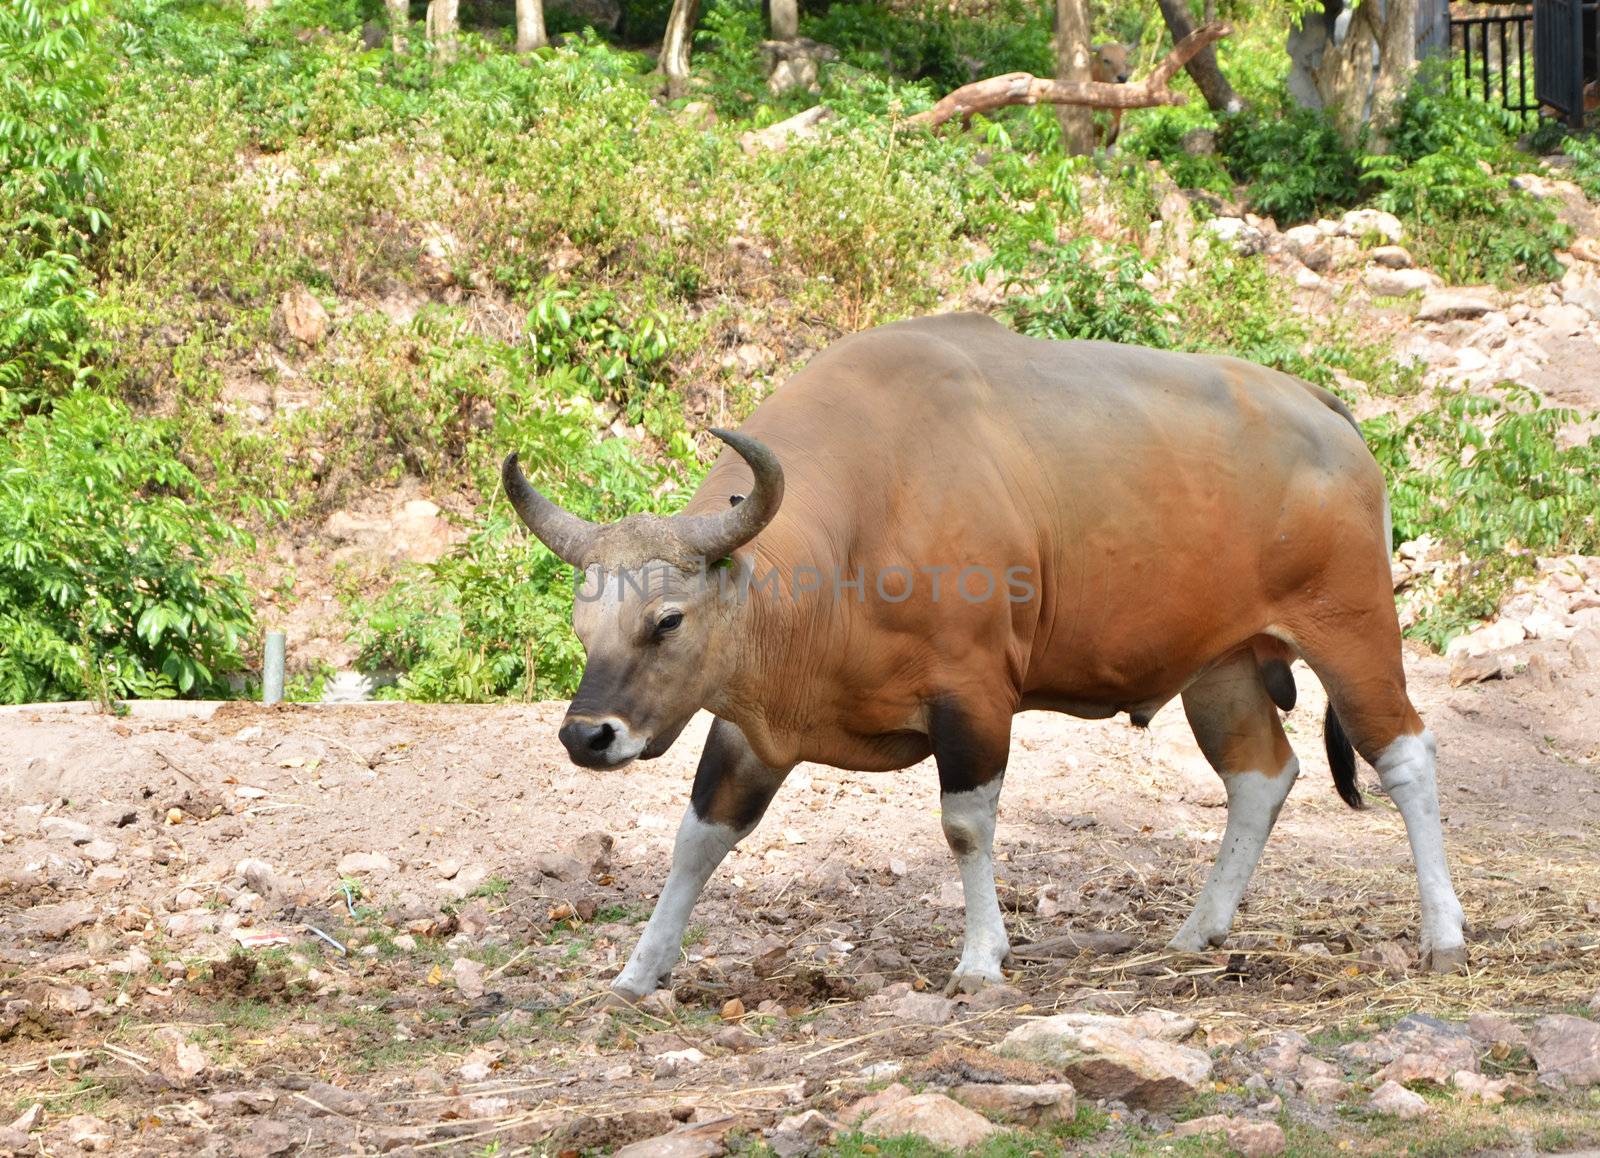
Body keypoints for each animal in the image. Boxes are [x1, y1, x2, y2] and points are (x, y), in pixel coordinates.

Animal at [505, 311, 1465, 998]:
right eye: (583, 626)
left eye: (667, 619)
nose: (587, 735)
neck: (856, 540)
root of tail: (1323, 410)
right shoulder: (753, 725)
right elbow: (699, 837)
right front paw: (638, 969)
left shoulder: (973, 696)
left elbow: (965, 826)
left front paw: (980, 958)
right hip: (1220, 666)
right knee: (1262, 775)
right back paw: (1200, 929)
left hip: (1352, 625)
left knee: (1406, 754)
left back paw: (1444, 933)